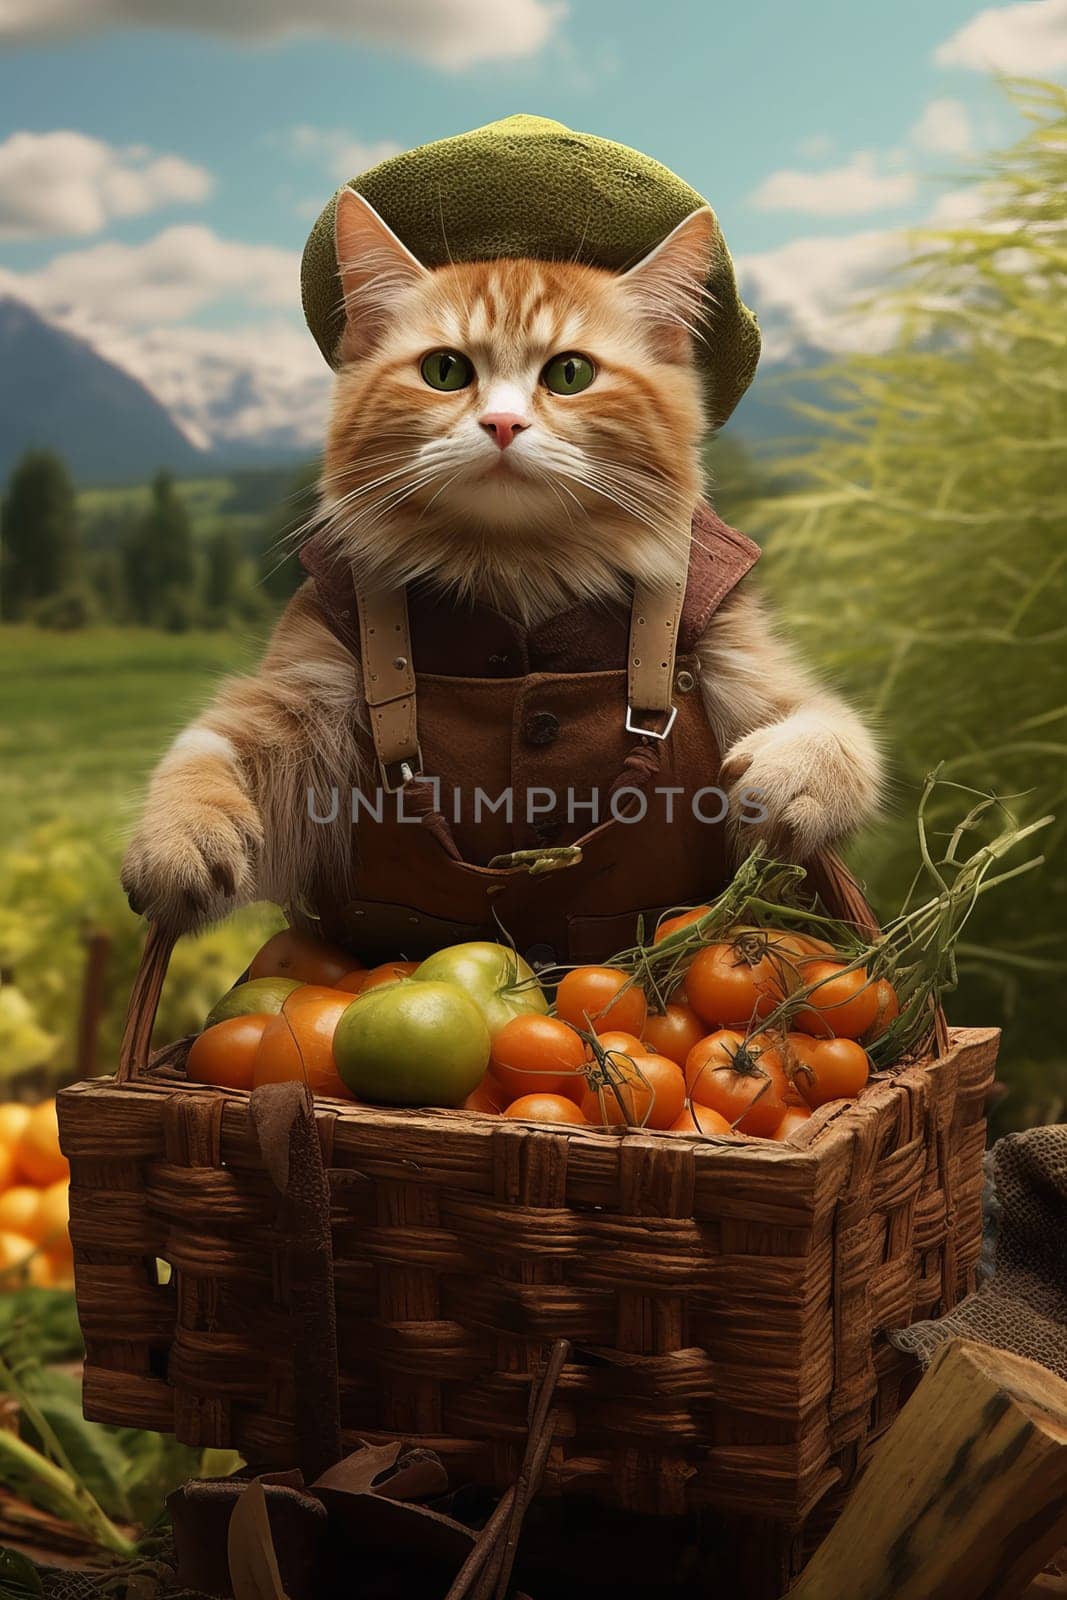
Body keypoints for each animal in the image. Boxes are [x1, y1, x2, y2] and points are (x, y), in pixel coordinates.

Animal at [120, 193, 883, 934]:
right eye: (445, 371)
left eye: (570, 373)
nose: (503, 424)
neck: (519, 571)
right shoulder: (300, 694)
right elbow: (209, 749)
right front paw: (177, 838)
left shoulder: (746, 661)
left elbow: (837, 732)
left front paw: (791, 782)